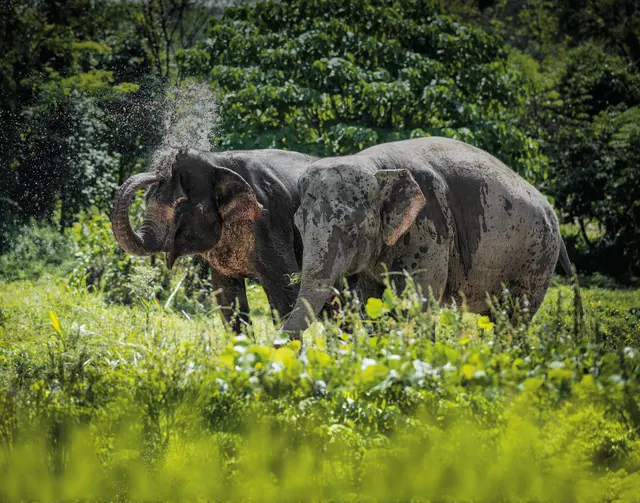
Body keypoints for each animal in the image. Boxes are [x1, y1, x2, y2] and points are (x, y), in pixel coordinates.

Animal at [111, 147, 316, 332]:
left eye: (180, 206)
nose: (158, 173)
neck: (216, 161)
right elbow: (228, 299)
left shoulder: (270, 221)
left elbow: (287, 292)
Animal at [281, 137, 576, 337]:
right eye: (298, 226)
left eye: (353, 231)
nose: (278, 344)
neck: (376, 166)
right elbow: (373, 300)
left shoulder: (430, 227)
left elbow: (415, 302)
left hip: (537, 258)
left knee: (514, 318)